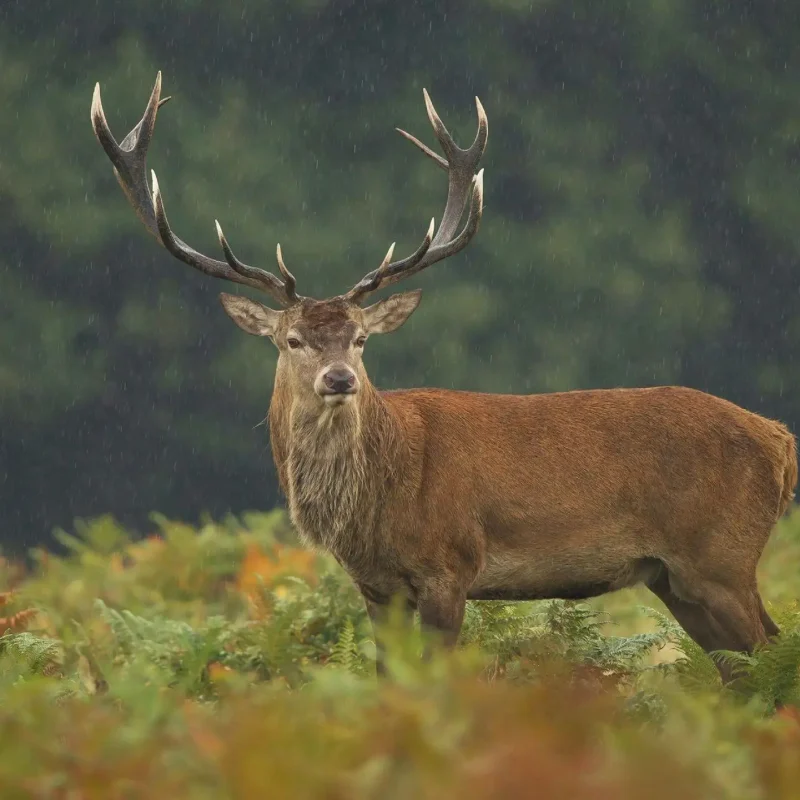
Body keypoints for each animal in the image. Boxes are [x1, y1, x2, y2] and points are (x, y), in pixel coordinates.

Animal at [92, 73, 796, 680]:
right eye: (293, 340)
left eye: (361, 339)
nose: (340, 379)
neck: (379, 502)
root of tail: (781, 440)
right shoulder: (377, 588)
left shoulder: (450, 564)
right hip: (674, 577)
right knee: (742, 668)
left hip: (721, 556)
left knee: (768, 652)